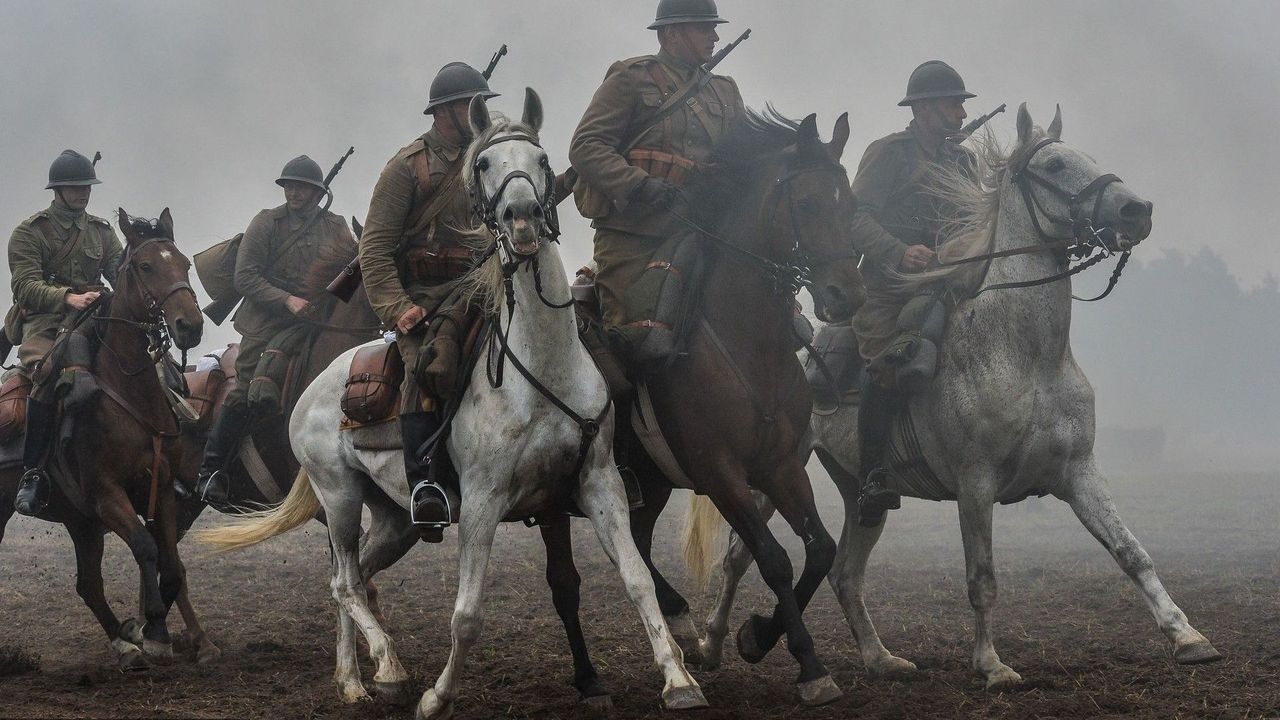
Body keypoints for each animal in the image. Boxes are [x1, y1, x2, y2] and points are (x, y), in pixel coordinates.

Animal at [0, 207, 204, 666]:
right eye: (145, 266)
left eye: (185, 264)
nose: (190, 326)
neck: (129, 392)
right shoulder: (107, 495)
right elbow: (146, 548)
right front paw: (155, 627)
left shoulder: (159, 491)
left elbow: (171, 564)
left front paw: (151, 631)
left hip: (81, 523)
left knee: (88, 584)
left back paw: (123, 642)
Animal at [200, 90, 706, 717]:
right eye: (484, 164)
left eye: (542, 159)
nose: (522, 219)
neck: (543, 366)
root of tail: (314, 388)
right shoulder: (486, 501)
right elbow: (466, 615)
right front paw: (437, 697)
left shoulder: (598, 484)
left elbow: (637, 578)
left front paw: (679, 679)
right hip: (339, 498)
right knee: (345, 581)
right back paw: (386, 668)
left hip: (395, 519)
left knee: (350, 578)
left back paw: (354, 679)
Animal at [691, 105, 1218, 681]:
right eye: (1055, 165)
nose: (1136, 210)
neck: (1030, 357)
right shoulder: (976, 484)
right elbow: (981, 578)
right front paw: (991, 665)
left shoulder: (1080, 474)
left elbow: (1132, 553)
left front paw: (1187, 636)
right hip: (775, 474)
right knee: (739, 559)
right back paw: (714, 643)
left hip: (861, 495)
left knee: (845, 574)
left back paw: (880, 657)